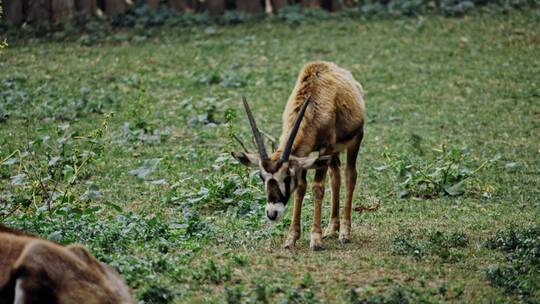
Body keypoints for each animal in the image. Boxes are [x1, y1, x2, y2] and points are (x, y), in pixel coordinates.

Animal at [233, 60, 368, 251]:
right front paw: (291, 238)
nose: (272, 213)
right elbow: (301, 188)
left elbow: (317, 187)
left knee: (350, 176)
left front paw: (315, 238)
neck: (314, 103)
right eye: (261, 177)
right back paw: (332, 228)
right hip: (333, 153)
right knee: (335, 178)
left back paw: (344, 233)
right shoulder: (305, 155)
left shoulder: (325, 148)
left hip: (355, 140)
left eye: (287, 177)